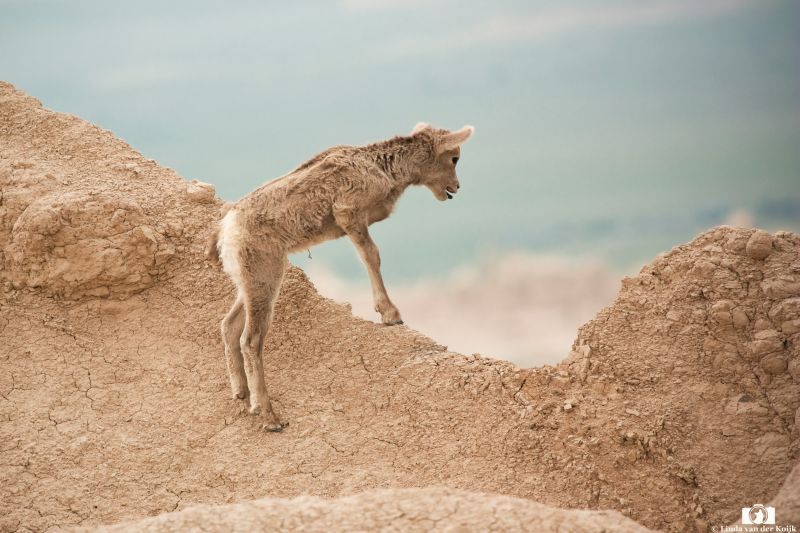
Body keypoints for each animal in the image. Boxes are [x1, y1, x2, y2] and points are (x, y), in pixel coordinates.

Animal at [206, 123, 474, 431]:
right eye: (454, 158)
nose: (455, 188)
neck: (383, 169)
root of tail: (226, 230)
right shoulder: (349, 213)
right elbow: (371, 255)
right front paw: (390, 314)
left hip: (254, 281)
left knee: (229, 326)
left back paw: (243, 395)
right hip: (265, 278)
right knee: (250, 340)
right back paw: (271, 417)